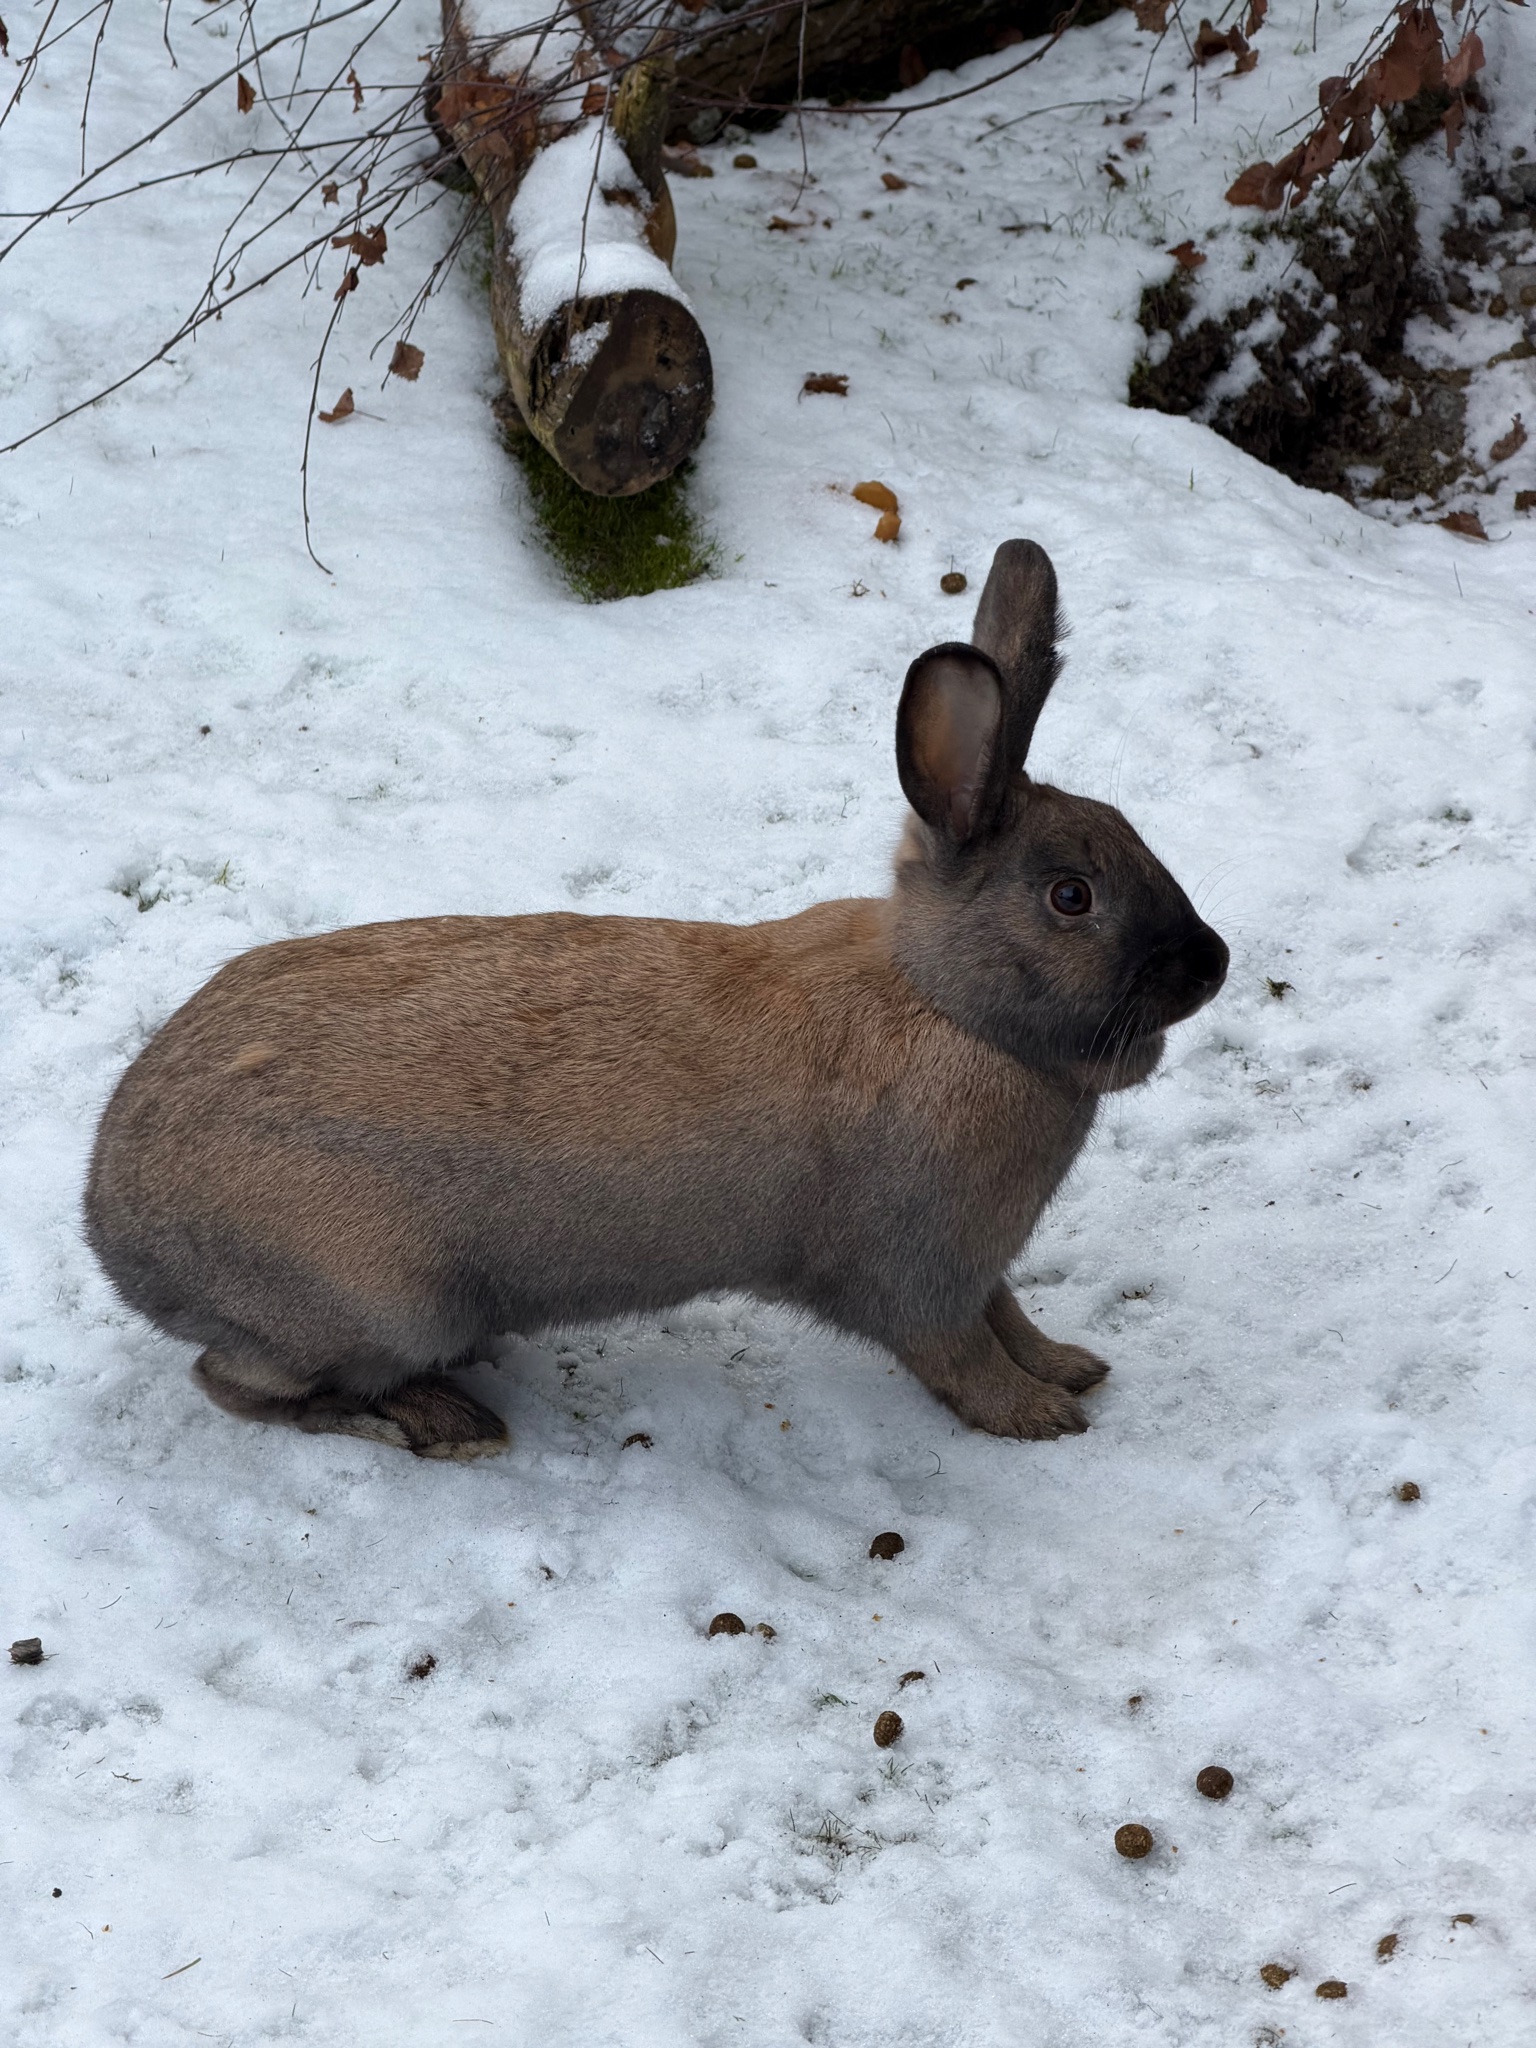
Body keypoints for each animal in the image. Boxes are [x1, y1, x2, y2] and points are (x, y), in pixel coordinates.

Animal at [84, 540, 1228, 1459]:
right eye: (1071, 896)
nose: (1212, 964)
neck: (944, 1003)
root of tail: (110, 1226)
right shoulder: (923, 1270)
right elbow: (961, 1353)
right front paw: (1043, 1417)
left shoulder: (977, 1265)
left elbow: (1011, 1317)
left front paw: (1071, 1364)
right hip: (383, 1298)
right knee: (238, 1383)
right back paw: (438, 1423)